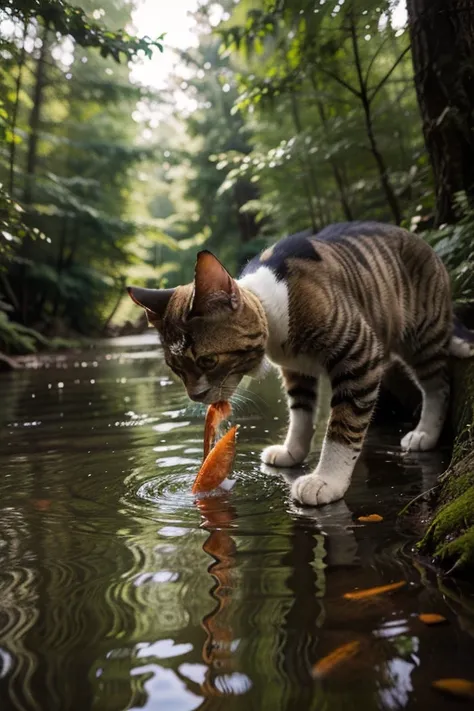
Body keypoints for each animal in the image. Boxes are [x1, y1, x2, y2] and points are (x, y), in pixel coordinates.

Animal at [127, 222, 474, 506]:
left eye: (208, 361)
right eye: (176, 368)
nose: (195, 395)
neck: (274, 311)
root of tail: (418, 237)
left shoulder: (359, 354)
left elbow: (344, 423)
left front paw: (327, 480)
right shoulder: (296, 369)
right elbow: (301, 412)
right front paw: (292, 450)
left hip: (420, 332)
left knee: (438, 383)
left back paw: (426, 431)